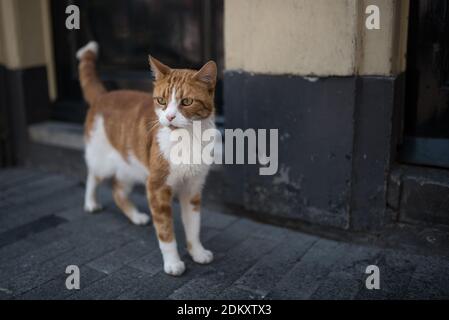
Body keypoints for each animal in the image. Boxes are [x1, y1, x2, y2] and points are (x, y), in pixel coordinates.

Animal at [77, 41, 217, 276]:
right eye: (161, 100)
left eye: (187, 101)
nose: (169, 117)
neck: (188, 138)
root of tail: (104, 95)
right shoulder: (157, 187)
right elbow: (165, 230)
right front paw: (172, 262)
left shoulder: (193, 188)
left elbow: (193, 225)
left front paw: (197, 252)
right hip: (102, 160)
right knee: (93, 177)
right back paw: (90, 203)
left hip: (129, 167)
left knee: (117, 190)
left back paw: (136, 216)